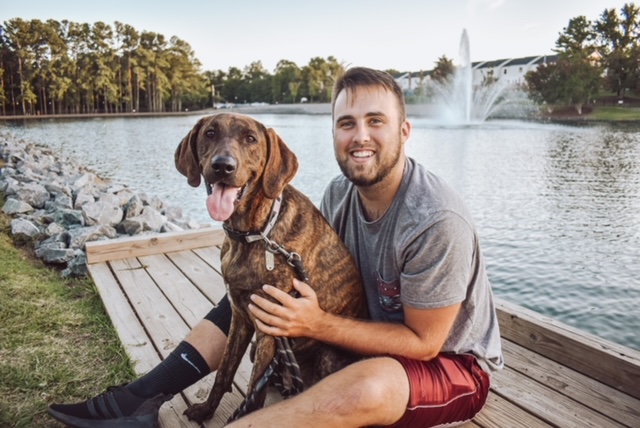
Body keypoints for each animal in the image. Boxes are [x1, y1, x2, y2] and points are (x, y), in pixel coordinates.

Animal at [175, 112, 368, 422]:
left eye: (250, 139)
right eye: (210, 133)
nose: (223, 166)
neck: (255, 233)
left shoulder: (269, 325)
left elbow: (254, 393)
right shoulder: (241, 315)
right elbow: (225, 371)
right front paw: (206, 409)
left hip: (325, 355)